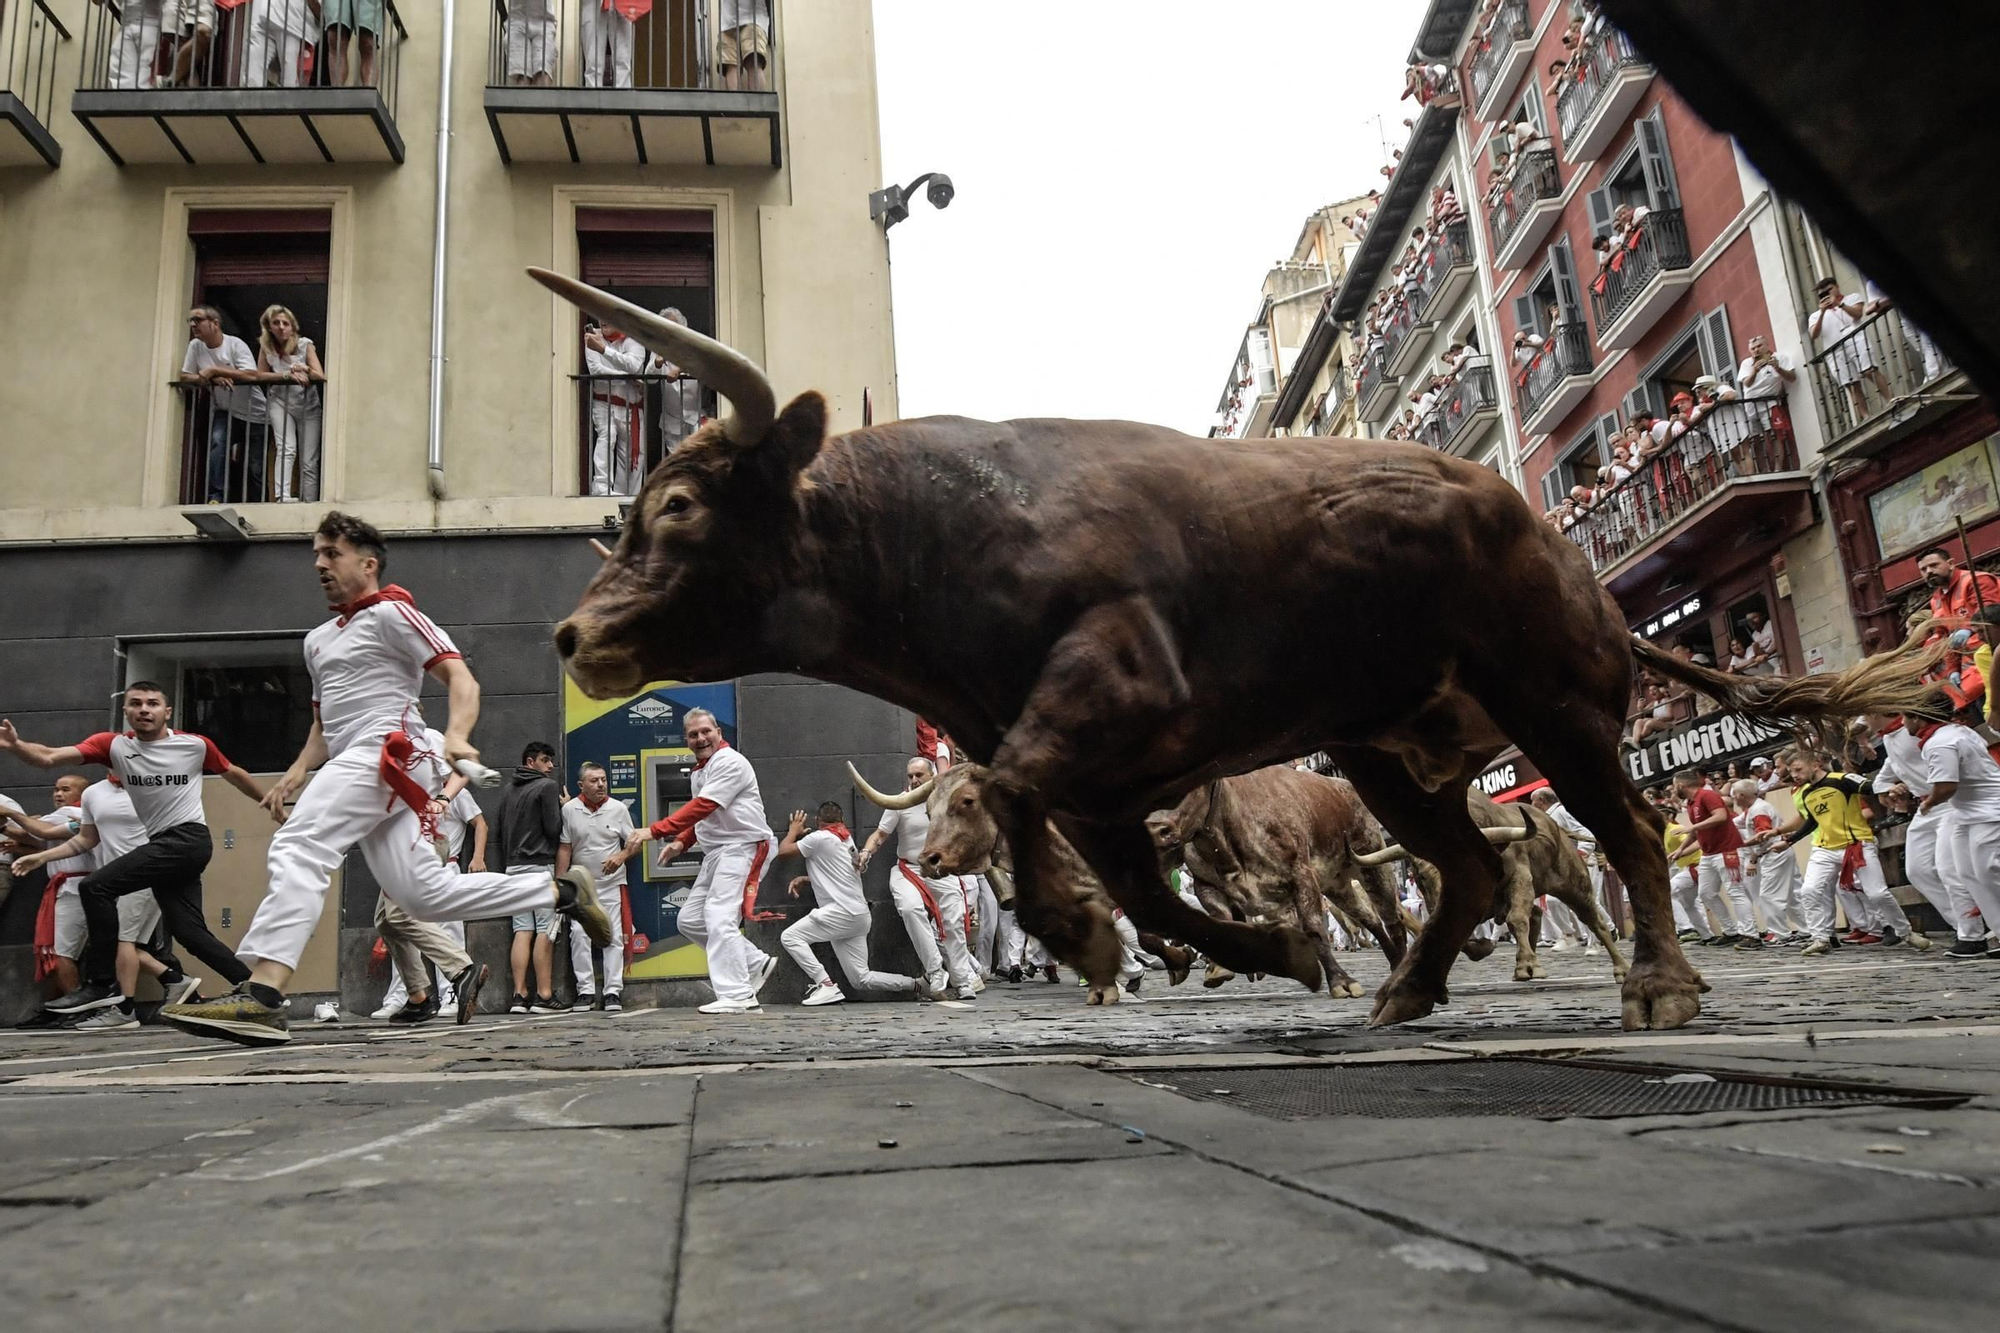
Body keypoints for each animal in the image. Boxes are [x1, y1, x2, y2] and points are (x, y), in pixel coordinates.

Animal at [540, 262, 1944, 1024]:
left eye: (680, 504)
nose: (572, 630)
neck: (944, 531)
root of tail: (1559, 546)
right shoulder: (1109, 788)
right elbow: (1142, 887)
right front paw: (1237, 951)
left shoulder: (1111, 686)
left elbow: (1030, 807)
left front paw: (1087, 927)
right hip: (1384, 751)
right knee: (1464, 871)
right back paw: (1404, 986)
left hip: (1552, 700)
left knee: (1629, 829)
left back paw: (1655, 982)